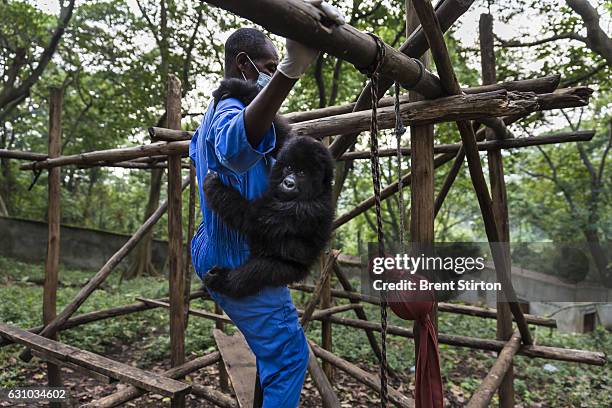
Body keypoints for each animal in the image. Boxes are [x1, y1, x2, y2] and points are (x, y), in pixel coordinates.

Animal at [203, 135, 334, 298]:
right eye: (289, 168)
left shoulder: (305, 210)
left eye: (302, 173)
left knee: (259, 271)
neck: (320, 191)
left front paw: (214, 186)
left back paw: (223, 280)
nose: (288, 183)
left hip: (292, 270)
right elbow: (281, 140)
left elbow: (252, 218)